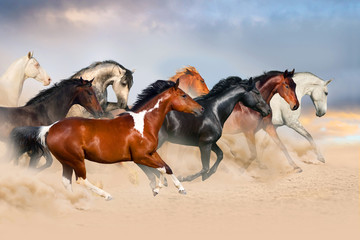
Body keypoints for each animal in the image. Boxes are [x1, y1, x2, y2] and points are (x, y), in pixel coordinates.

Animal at [34, 79, 204, 199]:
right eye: (184, 95)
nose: (201, 109)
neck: (144, 123)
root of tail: (50, 128)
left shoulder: (151, 153)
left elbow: (167, 167)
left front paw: (179, 189)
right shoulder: (140, 156)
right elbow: (161, 169)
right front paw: (159, 188)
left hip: (67, 162)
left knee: (66, 182)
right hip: (76, 160)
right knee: (81, 179)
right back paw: (106, 196)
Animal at [138, 77, 270, 195]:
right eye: (257, 92)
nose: (268, 110)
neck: (214, 111)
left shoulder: (211, 142)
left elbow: (220, 156)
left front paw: (206, 176)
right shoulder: (205, 144)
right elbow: (205, 167)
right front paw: (184, 178)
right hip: (157, 141)